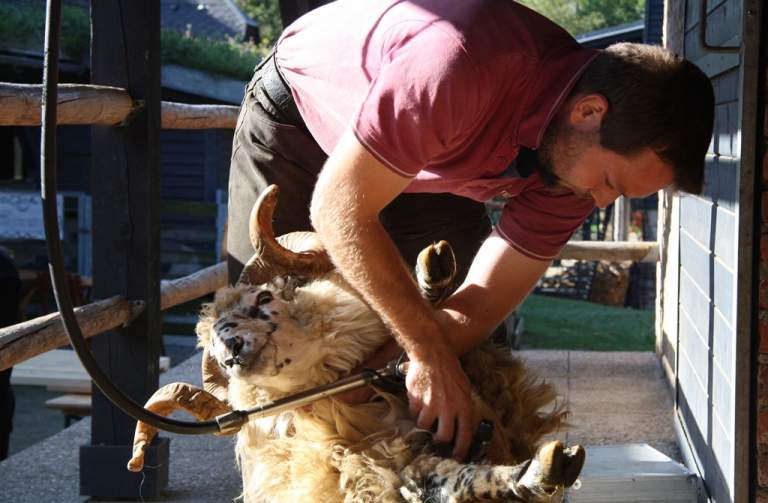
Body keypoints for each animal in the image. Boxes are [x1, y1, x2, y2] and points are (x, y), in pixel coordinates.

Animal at [129, 186, 584, 503]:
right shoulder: (380, 456)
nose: (230, 351)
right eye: (213, 351)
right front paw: (536, 473)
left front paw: (432, 271)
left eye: (263, 297)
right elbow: (450, 482)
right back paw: (548, 467)